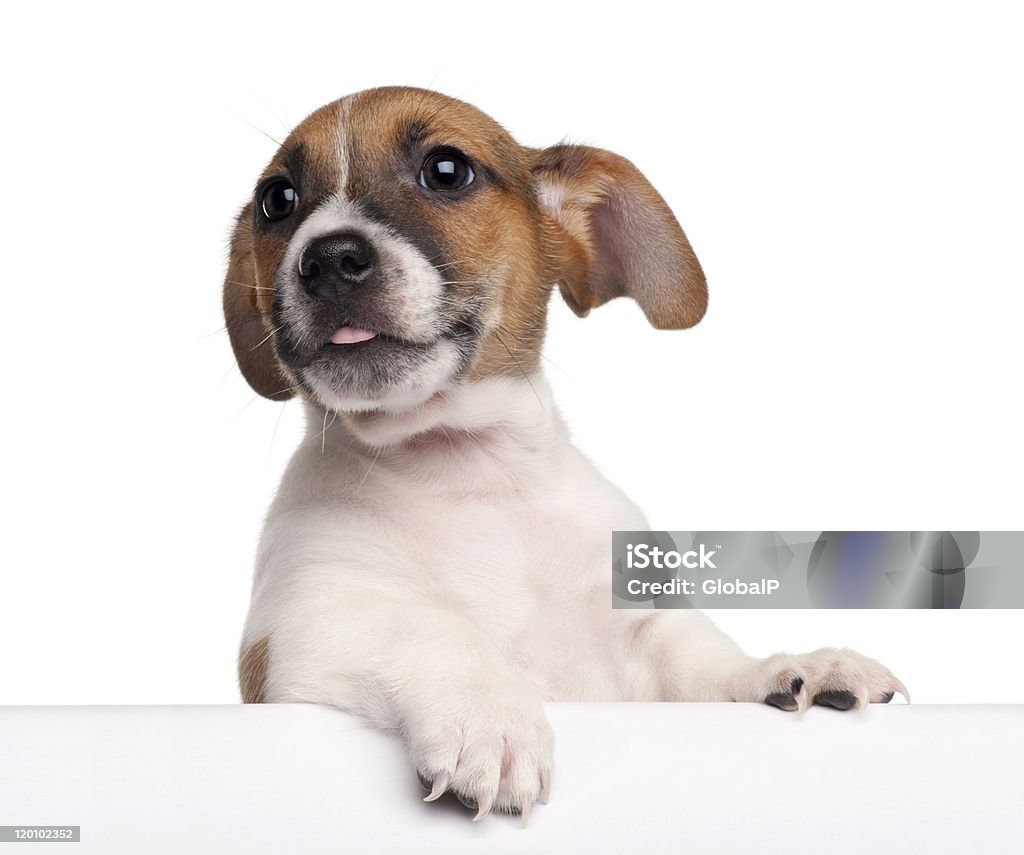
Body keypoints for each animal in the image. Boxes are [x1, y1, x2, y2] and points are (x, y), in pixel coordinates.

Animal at [222, 87, 905, 823]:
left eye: (446, 170)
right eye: (278, 199)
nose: (328, 259)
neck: (468, 472)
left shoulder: (634, 643)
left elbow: (698, 658)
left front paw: (781, 668)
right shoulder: (300, 629)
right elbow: (429, 628)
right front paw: (487, 714)